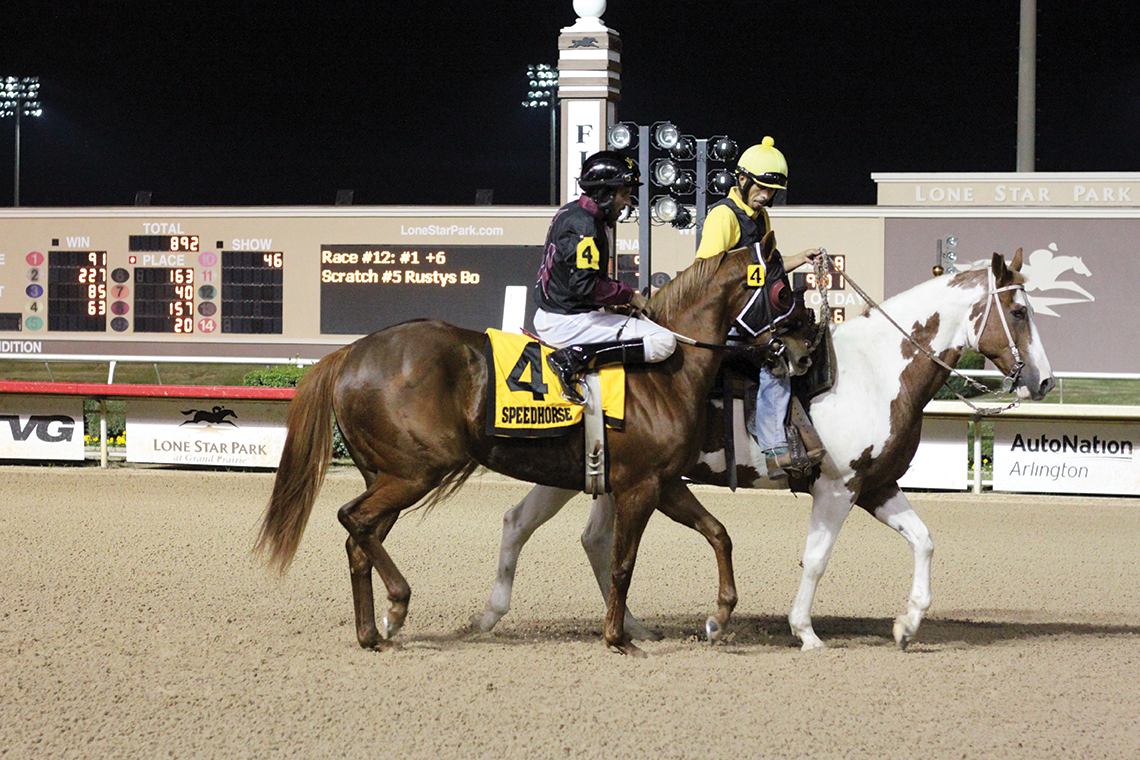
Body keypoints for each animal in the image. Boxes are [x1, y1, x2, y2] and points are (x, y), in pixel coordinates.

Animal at [256, 234, 820, 656]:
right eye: (782, 294)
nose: (803, 350)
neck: (665, 369)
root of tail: (350, 352)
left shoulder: (663, 483)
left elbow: (719, 534)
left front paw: (718, 616)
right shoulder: (640, 487)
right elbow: (623, 561)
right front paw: (618, 638)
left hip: (389, 473)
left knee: (360, 535)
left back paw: (373, 632)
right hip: (415, 471)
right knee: (352, 519)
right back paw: (397, 604)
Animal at [469, 248, 1048, 647]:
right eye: (1019, 312)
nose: (1042, 381)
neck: (878, 369)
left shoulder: (877, 485)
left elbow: (924, 541)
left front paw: (907, 624)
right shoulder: (838, 488)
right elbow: (815, 559)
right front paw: (804, 630)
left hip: (595, 474)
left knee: (550, 529)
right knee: (545, 528)